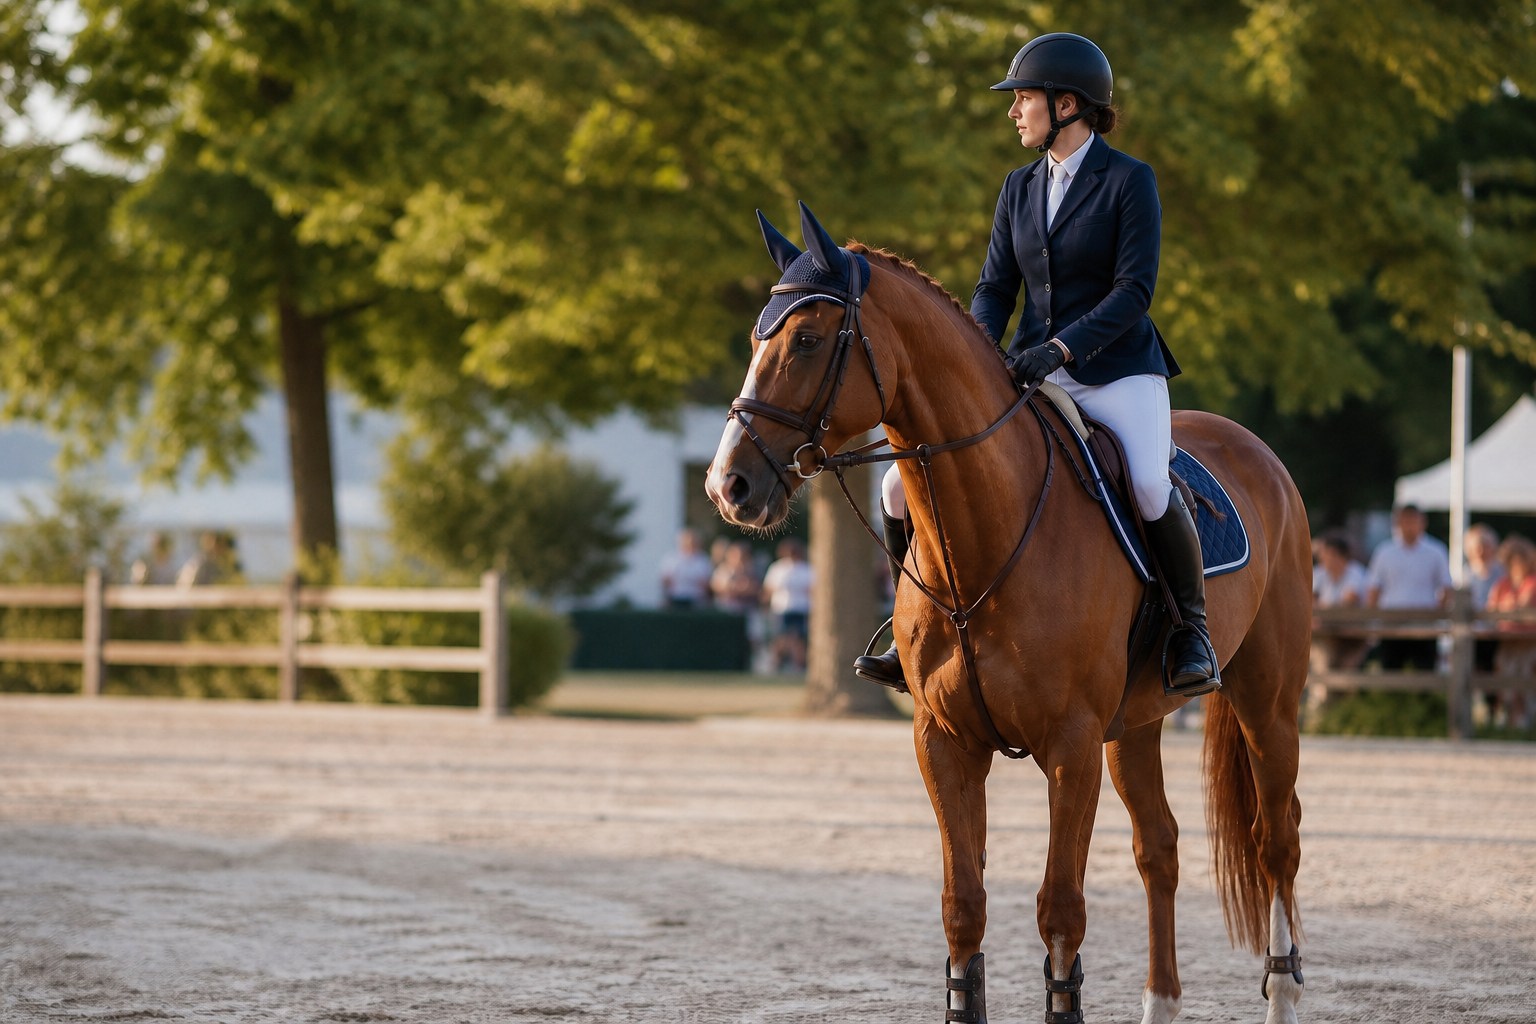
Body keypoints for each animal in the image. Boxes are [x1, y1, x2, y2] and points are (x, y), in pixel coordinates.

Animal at [705, 203, 1312, 1024]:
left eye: (805, 340)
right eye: (755, 340)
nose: (727, 485)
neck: (986, 533)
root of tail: (1257, 450)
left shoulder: (1071, 744)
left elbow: (1061, 909)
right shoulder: (946, 741)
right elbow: (964, 907)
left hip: (1266, 702)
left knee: (1277, 838)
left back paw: (1282, 991)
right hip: (1136, 724)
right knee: (1159, 848)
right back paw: (1160, 1002)